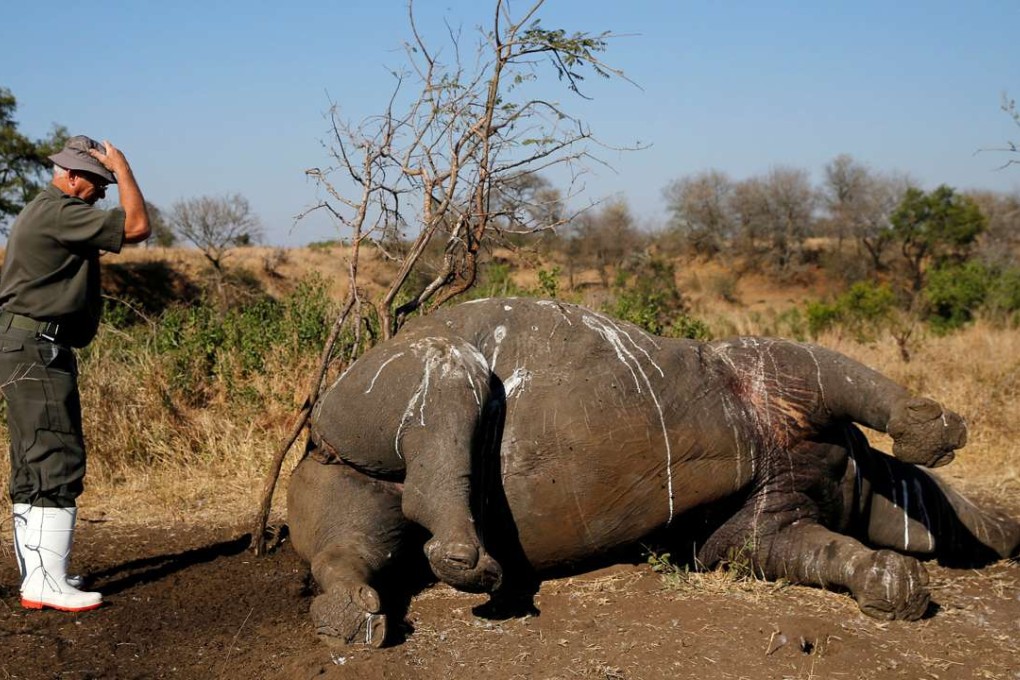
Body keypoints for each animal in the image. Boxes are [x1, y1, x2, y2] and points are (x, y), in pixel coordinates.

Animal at [287, 297, 1020, 647]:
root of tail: (315, 430)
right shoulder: (769, 371)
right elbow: (837, 372)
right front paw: (935, 436)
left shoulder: (758, 530)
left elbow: (812, 549)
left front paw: (897, 582)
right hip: (375, 383)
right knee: (448, 370)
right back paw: (471, 566)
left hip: (337, 461)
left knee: (357, 535)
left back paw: (352, 617)